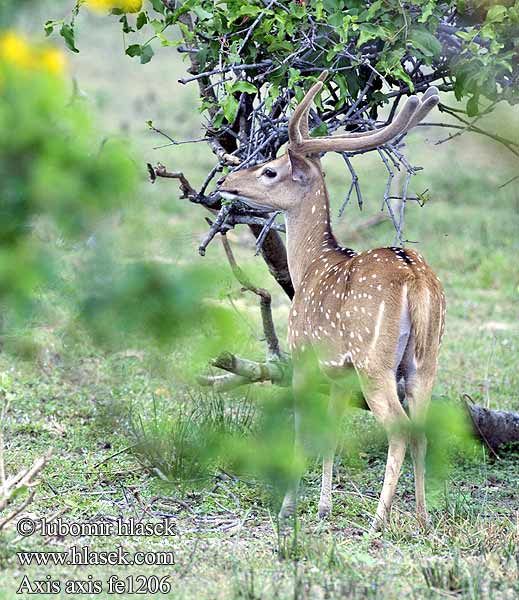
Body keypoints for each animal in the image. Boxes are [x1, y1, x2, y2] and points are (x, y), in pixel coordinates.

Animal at [219, 72, 446, 532]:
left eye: (270, 171)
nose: (226, 181)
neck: (311, 266)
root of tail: (415, 278)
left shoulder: (303, 355)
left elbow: (301, 429)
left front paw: (288, 509)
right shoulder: (338, 373)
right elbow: (332, 430)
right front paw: (323, 508)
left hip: (373, 360)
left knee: (398, 428)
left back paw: (378, 521)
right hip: (425, 359)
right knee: (421, 428)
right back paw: (422, 518)